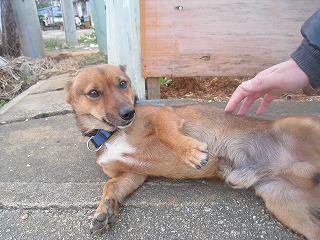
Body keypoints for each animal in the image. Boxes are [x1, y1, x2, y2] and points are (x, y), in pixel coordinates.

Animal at [65, 63, 320, 240]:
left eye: (123, 83)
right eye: (94, 93)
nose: (129, 113)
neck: (111, 133)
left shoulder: (164, 116)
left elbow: (166, 136)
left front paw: (192, 152)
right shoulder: (132, 175)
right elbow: (110, 186)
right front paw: (104, 208)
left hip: (302, 127)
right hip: (285, 205)